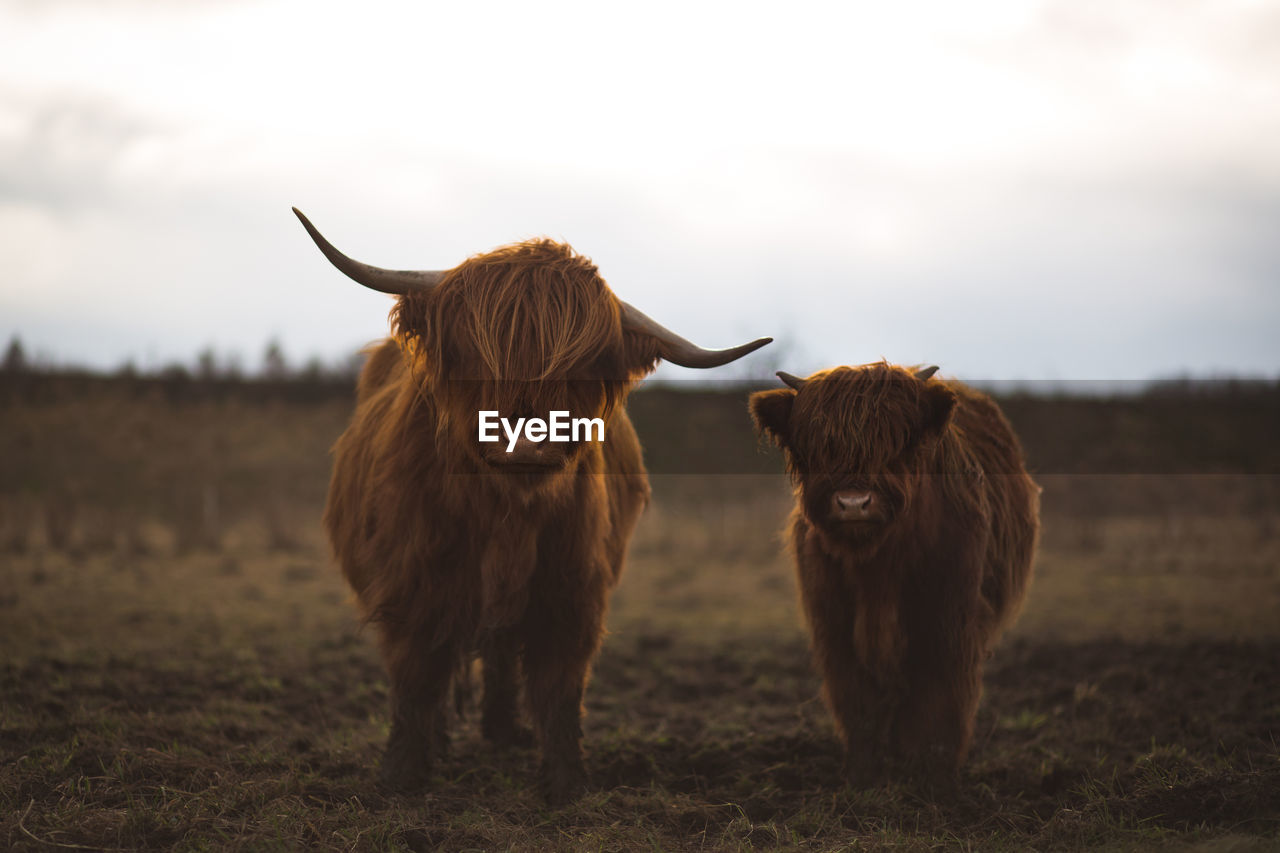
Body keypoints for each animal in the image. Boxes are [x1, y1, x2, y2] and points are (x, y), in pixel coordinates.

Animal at [293, 208, 768, 799]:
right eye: (477, 350)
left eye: (580, 365)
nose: (525, 442)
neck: (507, 513)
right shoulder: (413, 583)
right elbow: (416, 676)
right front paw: (402, 774)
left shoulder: (572, 591)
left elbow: (560, 689)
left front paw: (565, 782)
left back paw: (503, 731)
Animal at [747, 358, 1039, 783]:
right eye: (818, 444)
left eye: (897, 442)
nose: (853, 503)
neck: (878, 566)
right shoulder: (834, 622)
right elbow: (857, 700)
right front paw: (863, 771)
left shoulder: (948, 619)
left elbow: (937, 697)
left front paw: (929, 770)